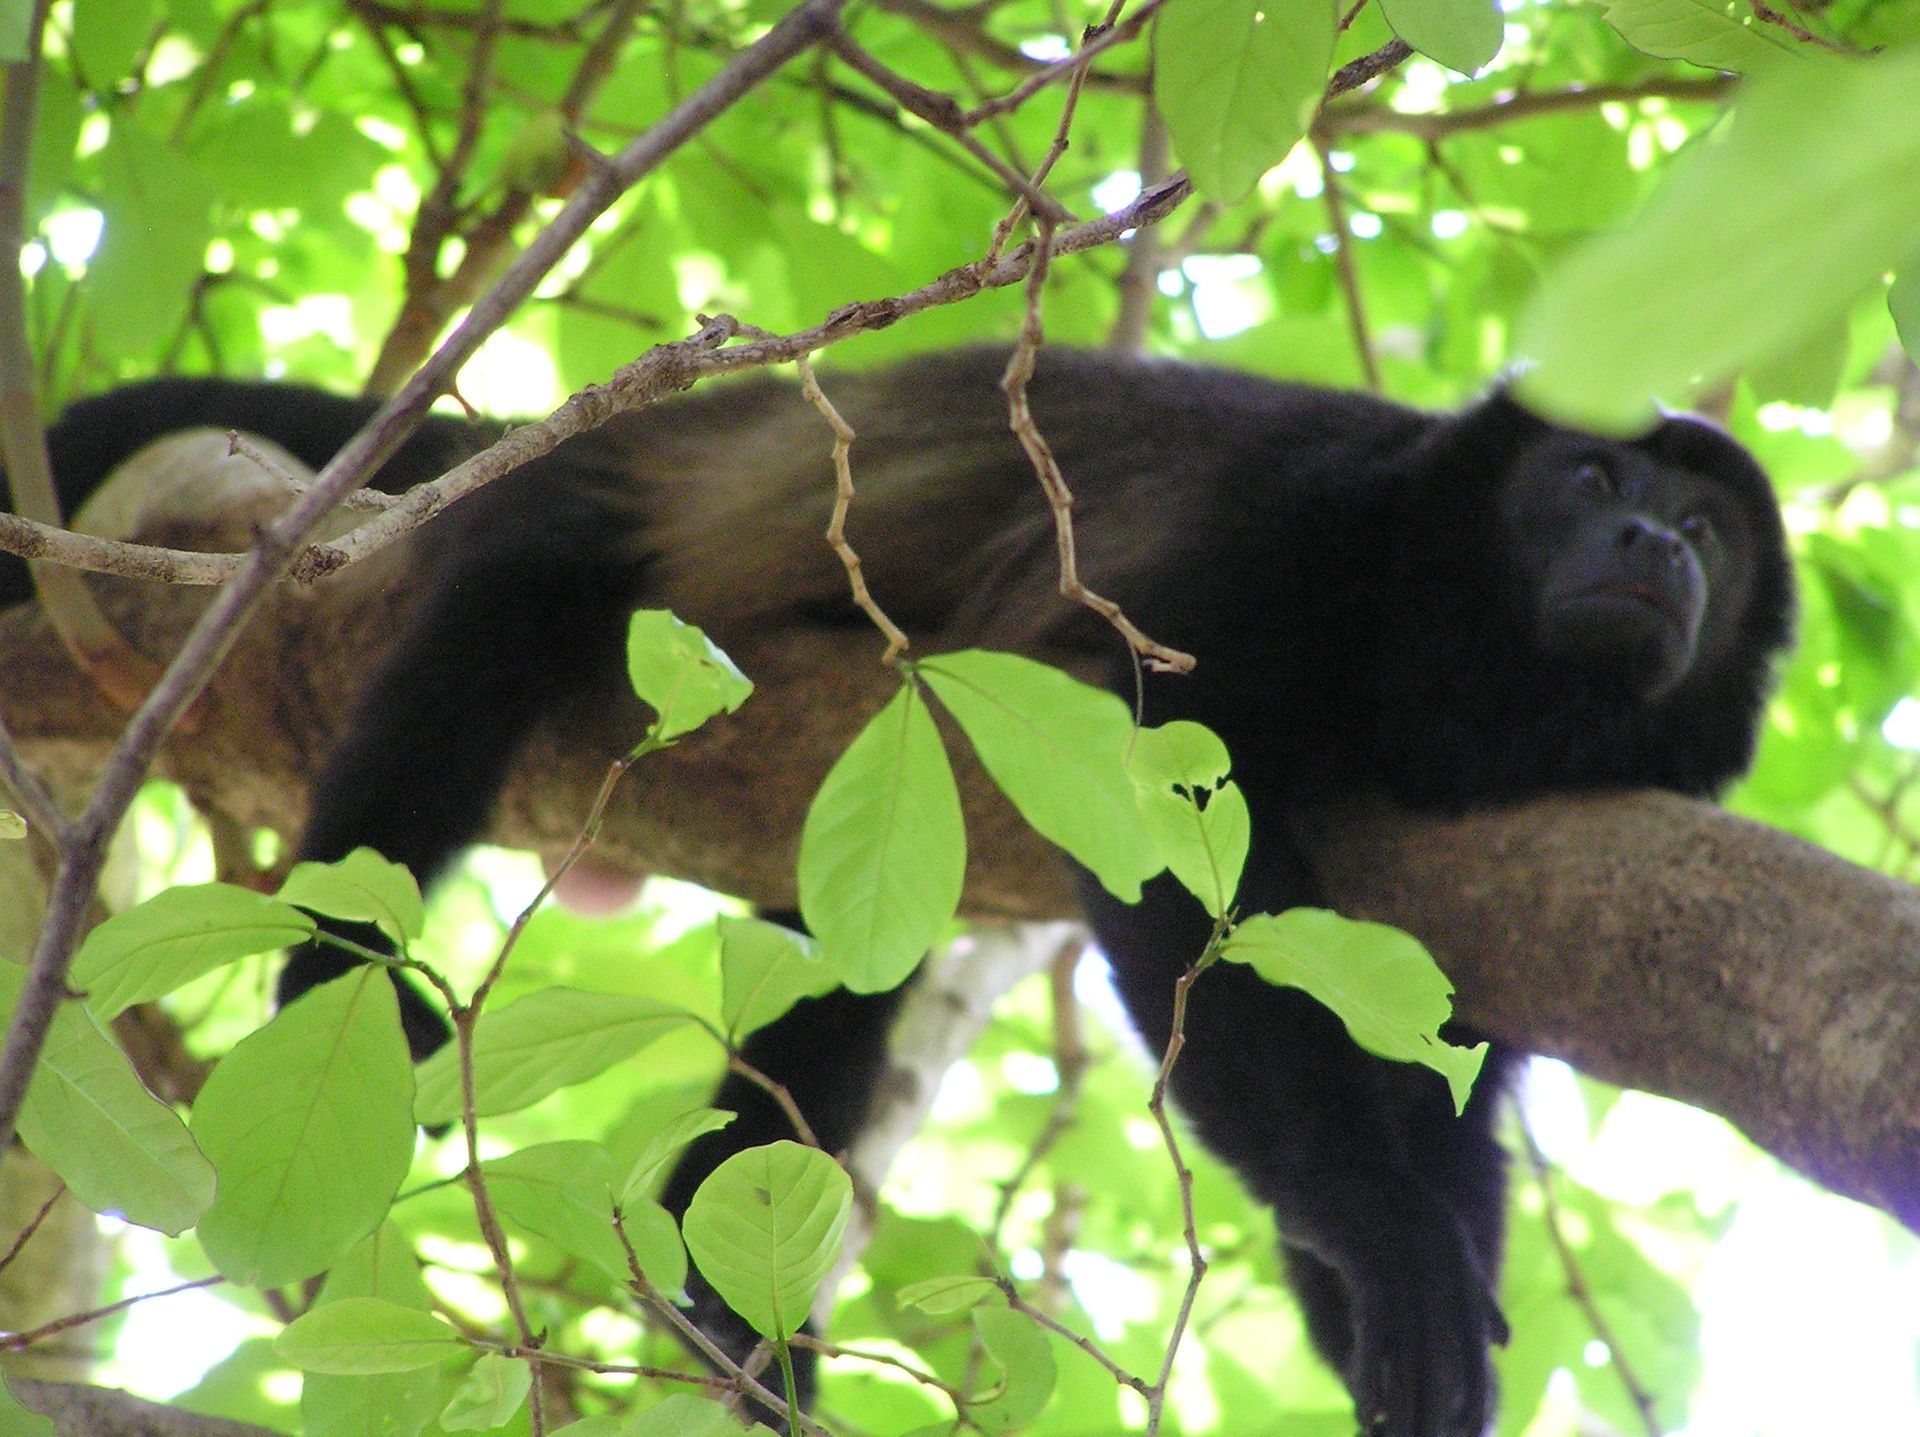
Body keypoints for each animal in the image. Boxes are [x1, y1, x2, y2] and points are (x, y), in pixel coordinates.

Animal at [0, 349, 1794, 1437]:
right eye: (1585, 481)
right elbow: (1174, 862)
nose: (1656, 541)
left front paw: (1395, 1309)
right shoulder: (1287, 535)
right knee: (458, 693)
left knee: (836, 988)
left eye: (1706, 523)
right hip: (546, 534)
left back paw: (734, 1318)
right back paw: (339, 986)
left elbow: (1445, 1089)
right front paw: (1389, 1240)